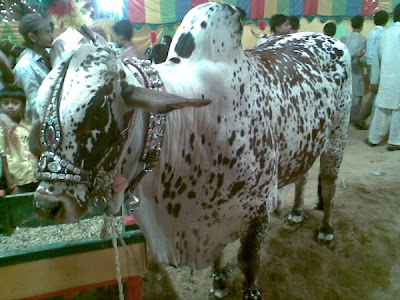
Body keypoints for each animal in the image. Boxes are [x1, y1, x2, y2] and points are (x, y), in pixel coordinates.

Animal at [31, 1, 350, 298]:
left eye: (97, 112)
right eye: (38, 108)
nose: (48, 204)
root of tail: (319, 36)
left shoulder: (259, 210)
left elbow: (249, 265)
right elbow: (219, 256)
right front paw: (219, 281)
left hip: (337, 134)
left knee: (329, 182)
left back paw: (326, 230)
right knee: (303, 177)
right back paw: (296, 212)